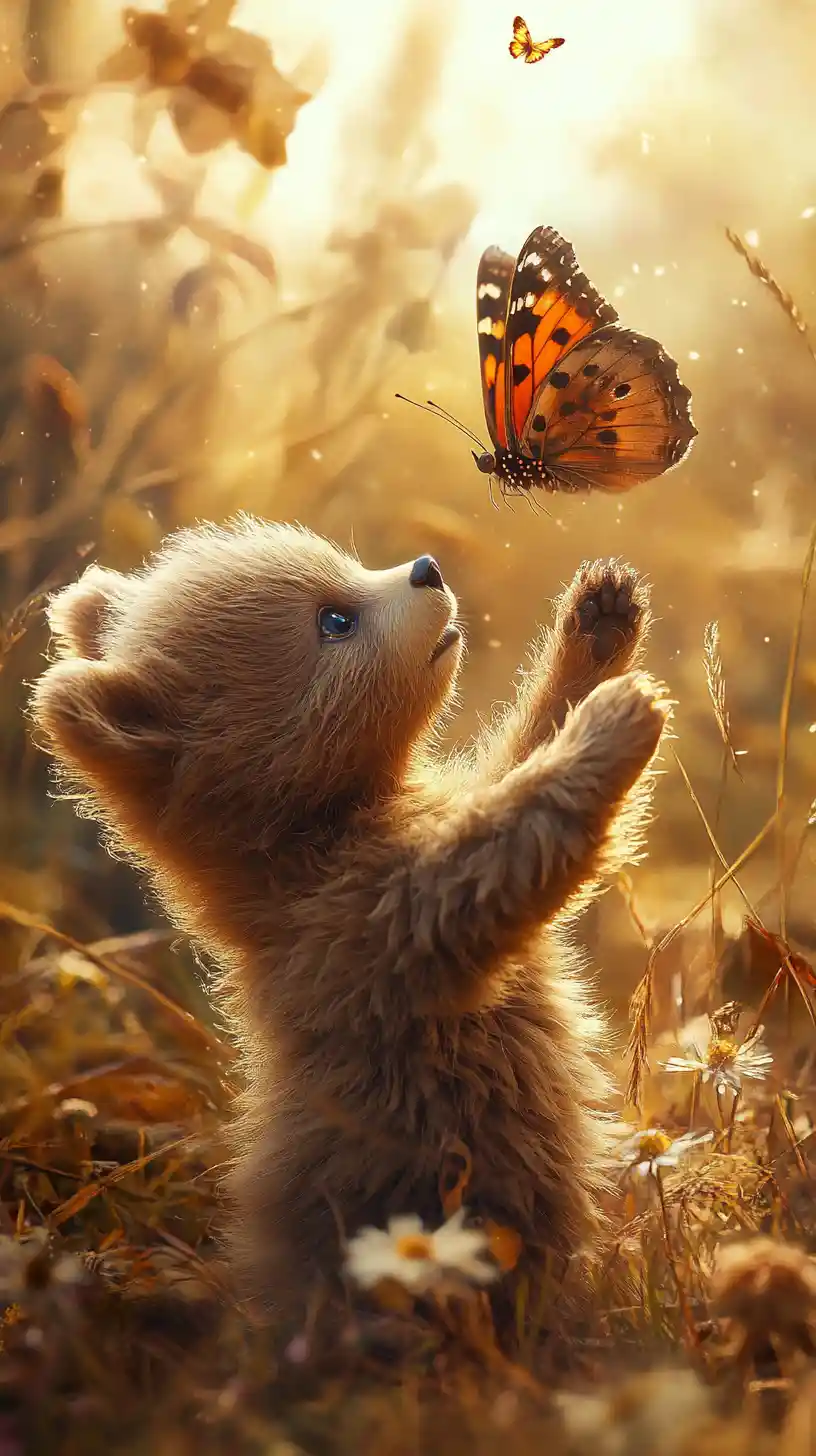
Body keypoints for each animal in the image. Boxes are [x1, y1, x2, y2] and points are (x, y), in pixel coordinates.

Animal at [29, 517, 668, 1347]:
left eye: (345, 567)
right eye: (334, 620)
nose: (426, 568)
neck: (319, 830)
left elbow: (513, 762)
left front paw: (598, 627)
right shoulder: (360, 923)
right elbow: (498, 857)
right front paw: (614, 719)